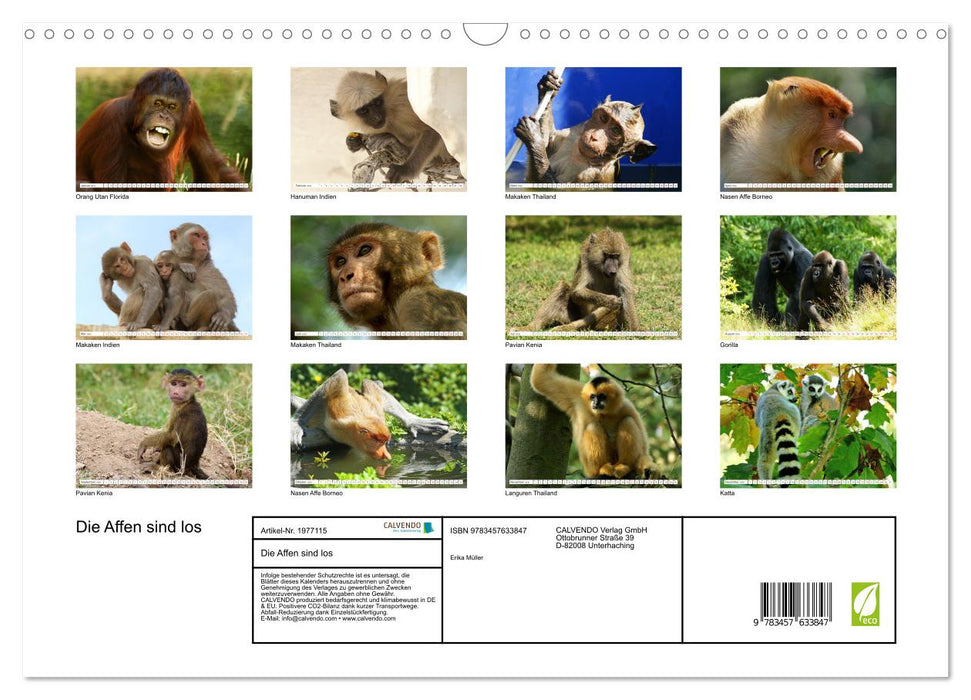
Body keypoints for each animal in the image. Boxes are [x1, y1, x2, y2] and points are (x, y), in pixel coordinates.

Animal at [290, 369, 451, 454]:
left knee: (376, 384)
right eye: (377, 440)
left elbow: (370, 384)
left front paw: (414, 422)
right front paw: (296, 425)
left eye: (384, 441)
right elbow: (340, 376)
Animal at [329, 70, 461, 185]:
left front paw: (406, 169)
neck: (390, 113)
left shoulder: (401, 101)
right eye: (364, 110)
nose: (377, 117)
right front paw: (356, 140)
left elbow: (433, 129)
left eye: (377, 102)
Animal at [514, 70, 657, 185]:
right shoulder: (570, 135)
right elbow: (548, 143)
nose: (594, 137)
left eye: (615, 131)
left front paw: (533, 136)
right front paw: (547, 86)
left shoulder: (588, 175)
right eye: (604, 118)